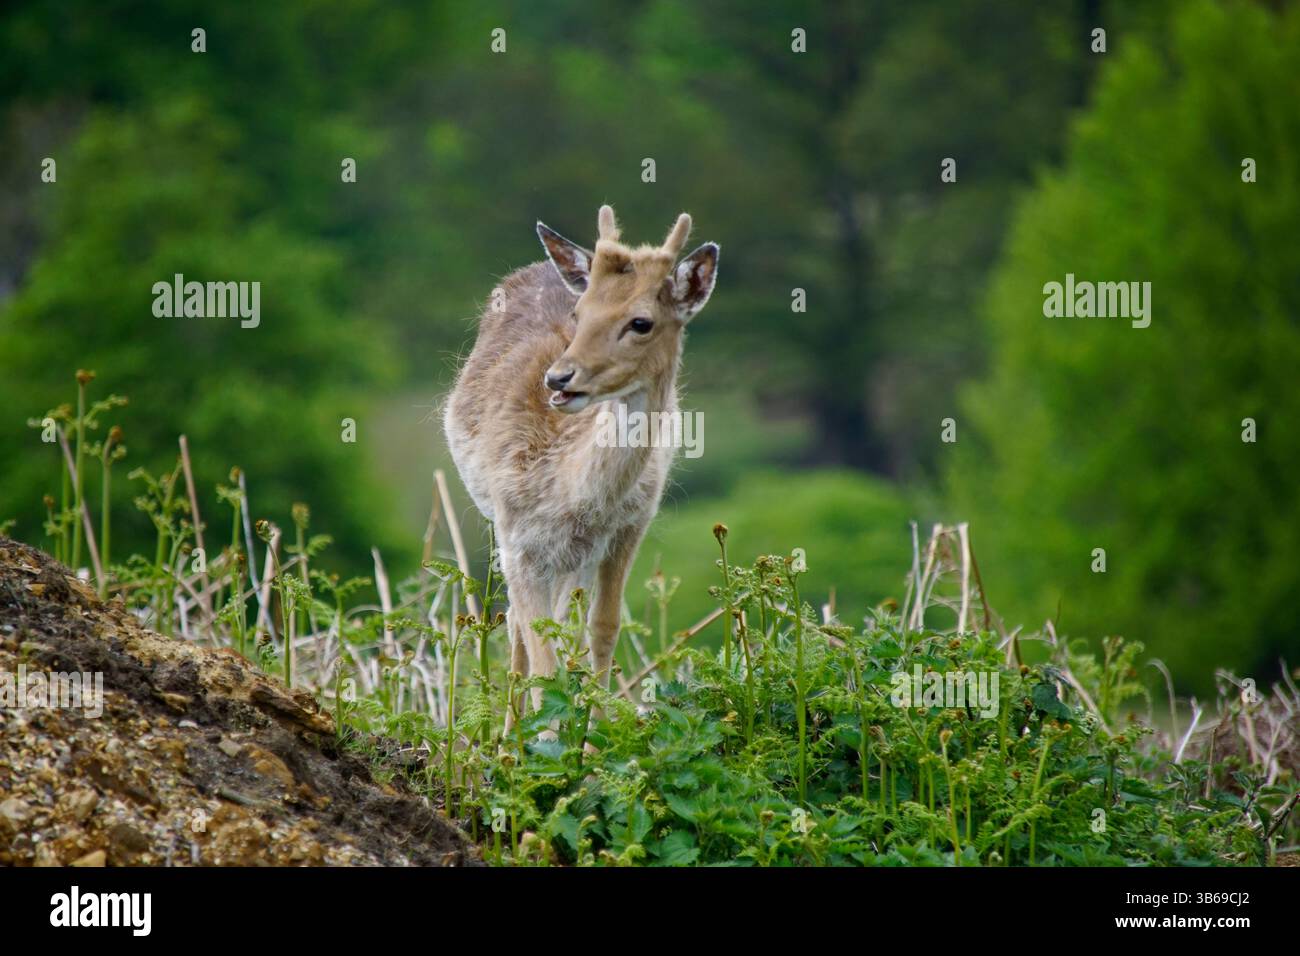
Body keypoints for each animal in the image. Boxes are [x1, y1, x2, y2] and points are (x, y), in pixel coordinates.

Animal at [443, 205, 719, 732]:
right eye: (579, 313)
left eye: (641, 322)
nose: (559, 378)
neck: (567, 493)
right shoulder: (515, 535)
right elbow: (537, 649)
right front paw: (540, 750)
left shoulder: (627, 527)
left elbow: (602, 628)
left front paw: (593, 741)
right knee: (517, 628)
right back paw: (508, 736)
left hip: (575, 558)